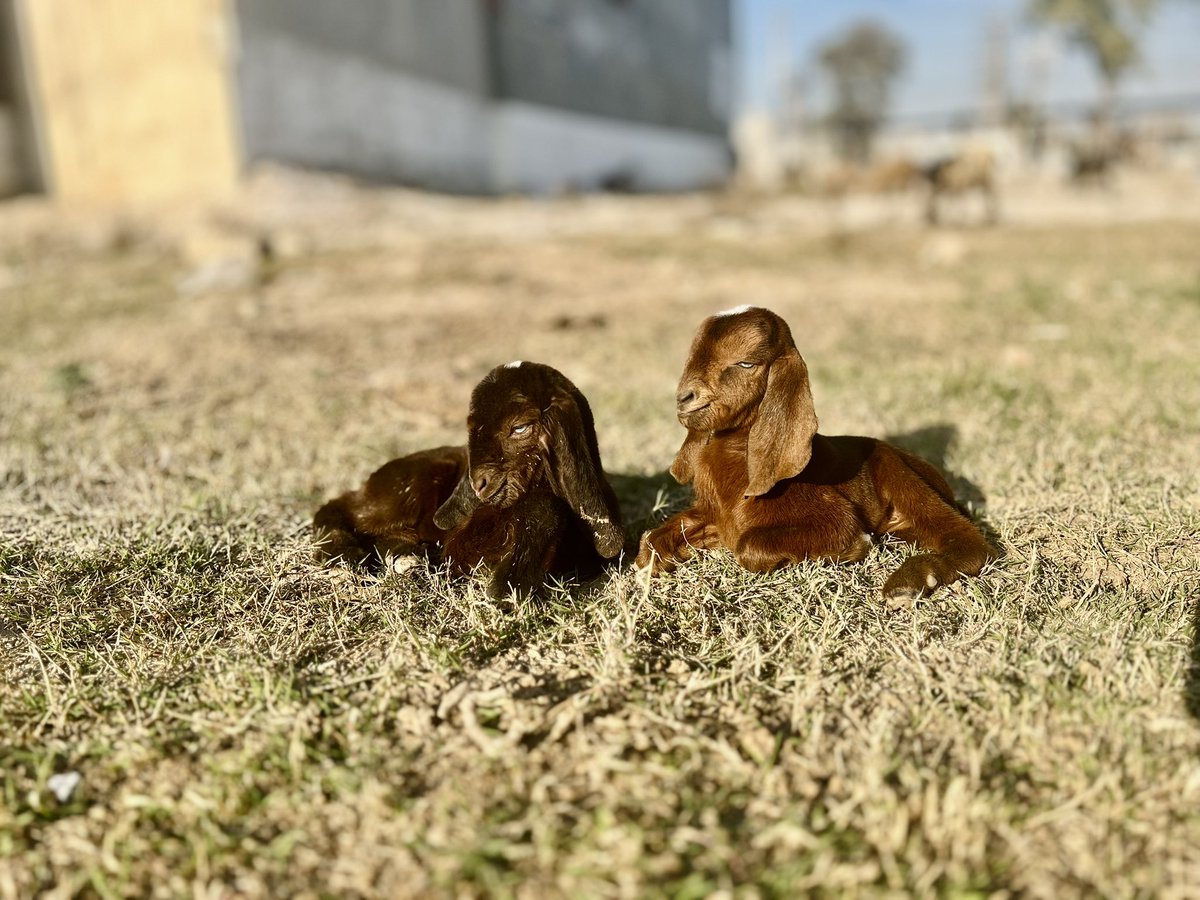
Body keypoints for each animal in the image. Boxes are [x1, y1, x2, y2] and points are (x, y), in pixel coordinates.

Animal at [314, 362, 623, 597]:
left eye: (520, 428)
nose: (478, 483)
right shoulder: (464, 542)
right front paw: (508, 588)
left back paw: (407, 558)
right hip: (408, 486)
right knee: (339, 507)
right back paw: (342, 558)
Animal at [634, 307, 996, 603]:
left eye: (746, 363)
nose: (684, 398)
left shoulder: (832, 515)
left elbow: (749, 546)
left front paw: (854, 548)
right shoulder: (710, 509)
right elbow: (654, 538)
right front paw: (666, 554)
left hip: (898, 472)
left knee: (968, 540)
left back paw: (909, 583)